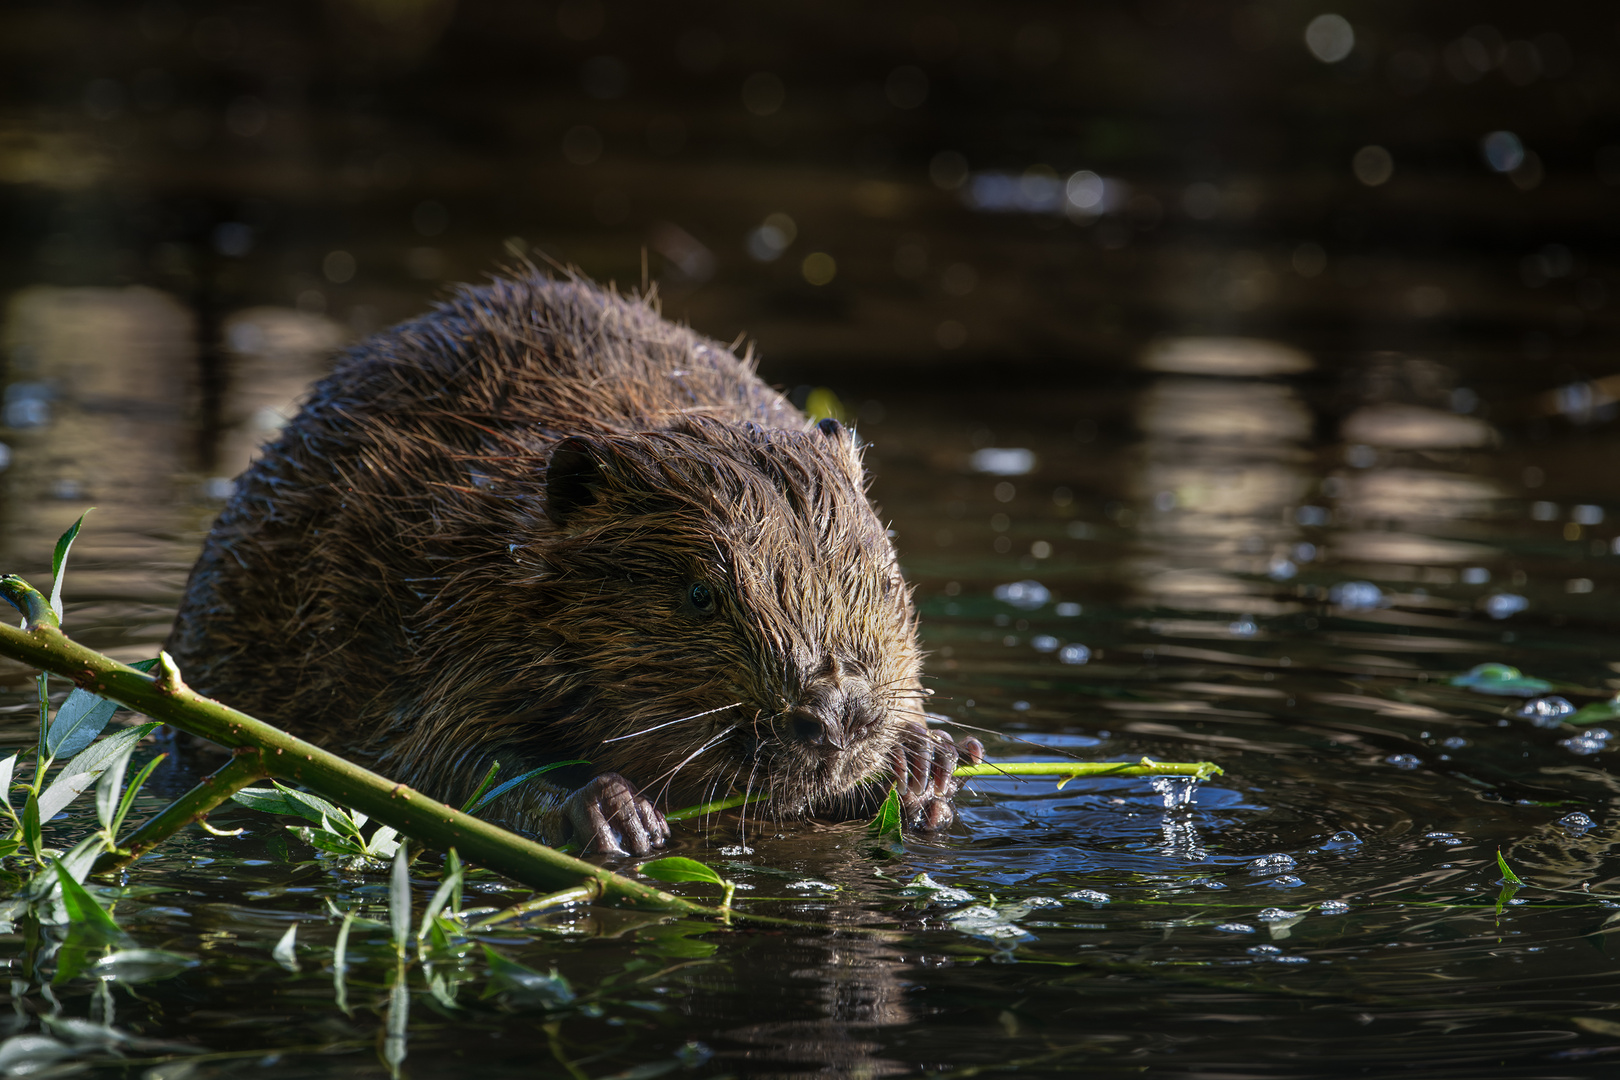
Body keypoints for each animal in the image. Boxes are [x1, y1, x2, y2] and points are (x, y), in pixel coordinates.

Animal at [164, 275, 978, 854]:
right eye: (699, 594)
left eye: (879, 580)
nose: (834, 715)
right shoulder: (443, 616)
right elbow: (442, 761)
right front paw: (614, 812)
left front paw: (924, 761)